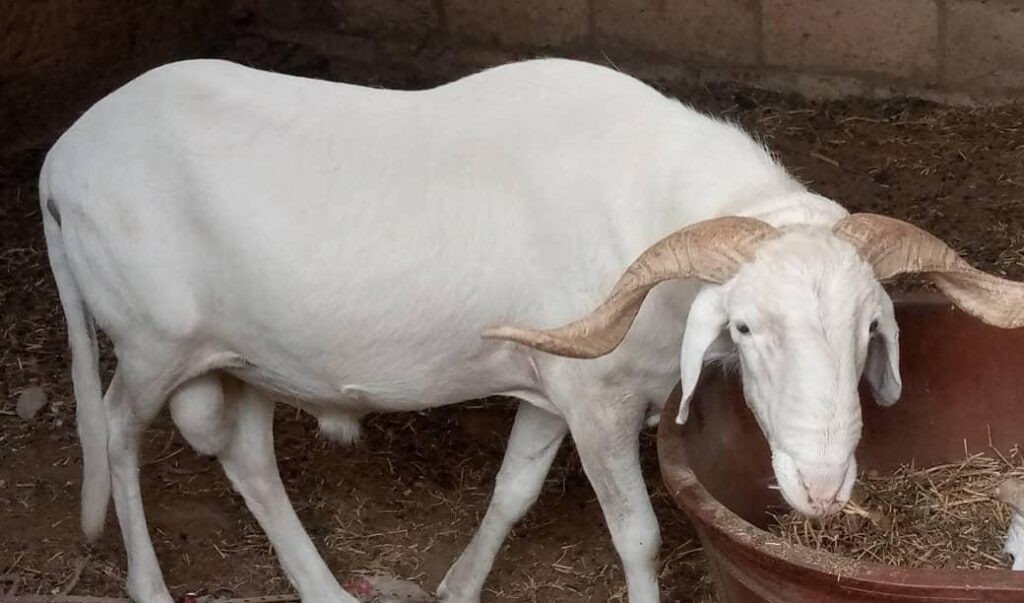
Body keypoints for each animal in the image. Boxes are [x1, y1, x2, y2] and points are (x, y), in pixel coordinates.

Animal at [39, 56, 1024, 603]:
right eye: (744, 327)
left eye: (869, 327)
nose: (822, 486)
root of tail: (61, 157)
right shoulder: (596, 400)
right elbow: (638, 535)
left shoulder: (555, 389)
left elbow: (512, 490)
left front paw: (458, 586)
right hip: (150, 342)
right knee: (119, 434)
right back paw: (150, 586)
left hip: (246, 356)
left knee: (247, 457)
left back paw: (322, 589)